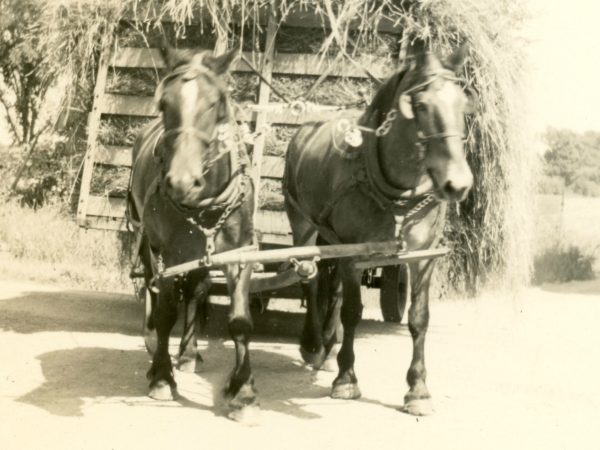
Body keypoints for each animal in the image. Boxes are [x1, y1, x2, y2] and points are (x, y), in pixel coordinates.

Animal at [127, 47, 256, 414]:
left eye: (213, 103)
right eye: (164, 103)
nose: (182, 181)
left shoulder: (239, 253)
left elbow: (240, 321)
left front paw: (243, 391)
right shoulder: (167, 254)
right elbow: (167, 311)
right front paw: (161, 377)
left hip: (201, 252)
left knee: (198, 291)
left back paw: (188, 353)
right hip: (149, 243)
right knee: (155, 293)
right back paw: (156, 348)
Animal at [284, 42, 476, 414]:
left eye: (463, 104)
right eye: (420, 106)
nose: (457, 184)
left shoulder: (422, 255)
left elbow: (419, 317)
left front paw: (418, 389)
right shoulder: (353, 254)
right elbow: (352, 312)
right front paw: (346, 379)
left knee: (331, 286)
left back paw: (328, 346)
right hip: (303, 224)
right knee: (310, 280)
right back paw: (314, 345)